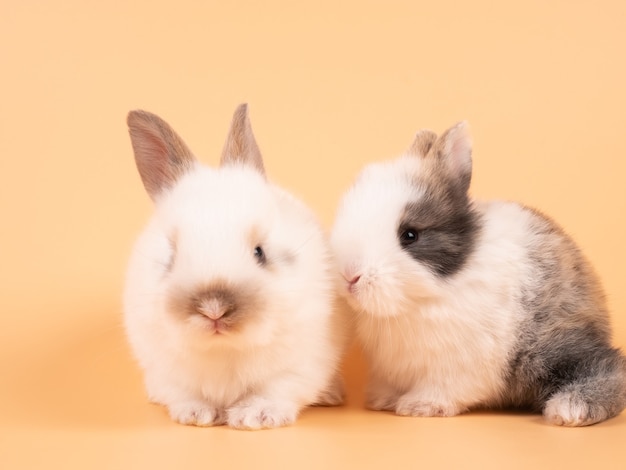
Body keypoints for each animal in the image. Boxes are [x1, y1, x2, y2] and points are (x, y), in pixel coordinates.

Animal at [122, 104, 346, 428]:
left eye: (259, 252)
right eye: (172, 256)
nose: (214, 308)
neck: (224, 348)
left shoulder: (299, 365)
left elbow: (276, 389)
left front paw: (256, 417)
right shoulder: (166, 371)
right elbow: (183, 394)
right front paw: (197, 415)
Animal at [330, 121, 620, 426]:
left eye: (410, 235)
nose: (349, 275)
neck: (420, 301)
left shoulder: (458, 364)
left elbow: (443, 388)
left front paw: (420, 406)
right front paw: (382, 401)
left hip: (550, 348)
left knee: (610, 367)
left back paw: (569, 409)